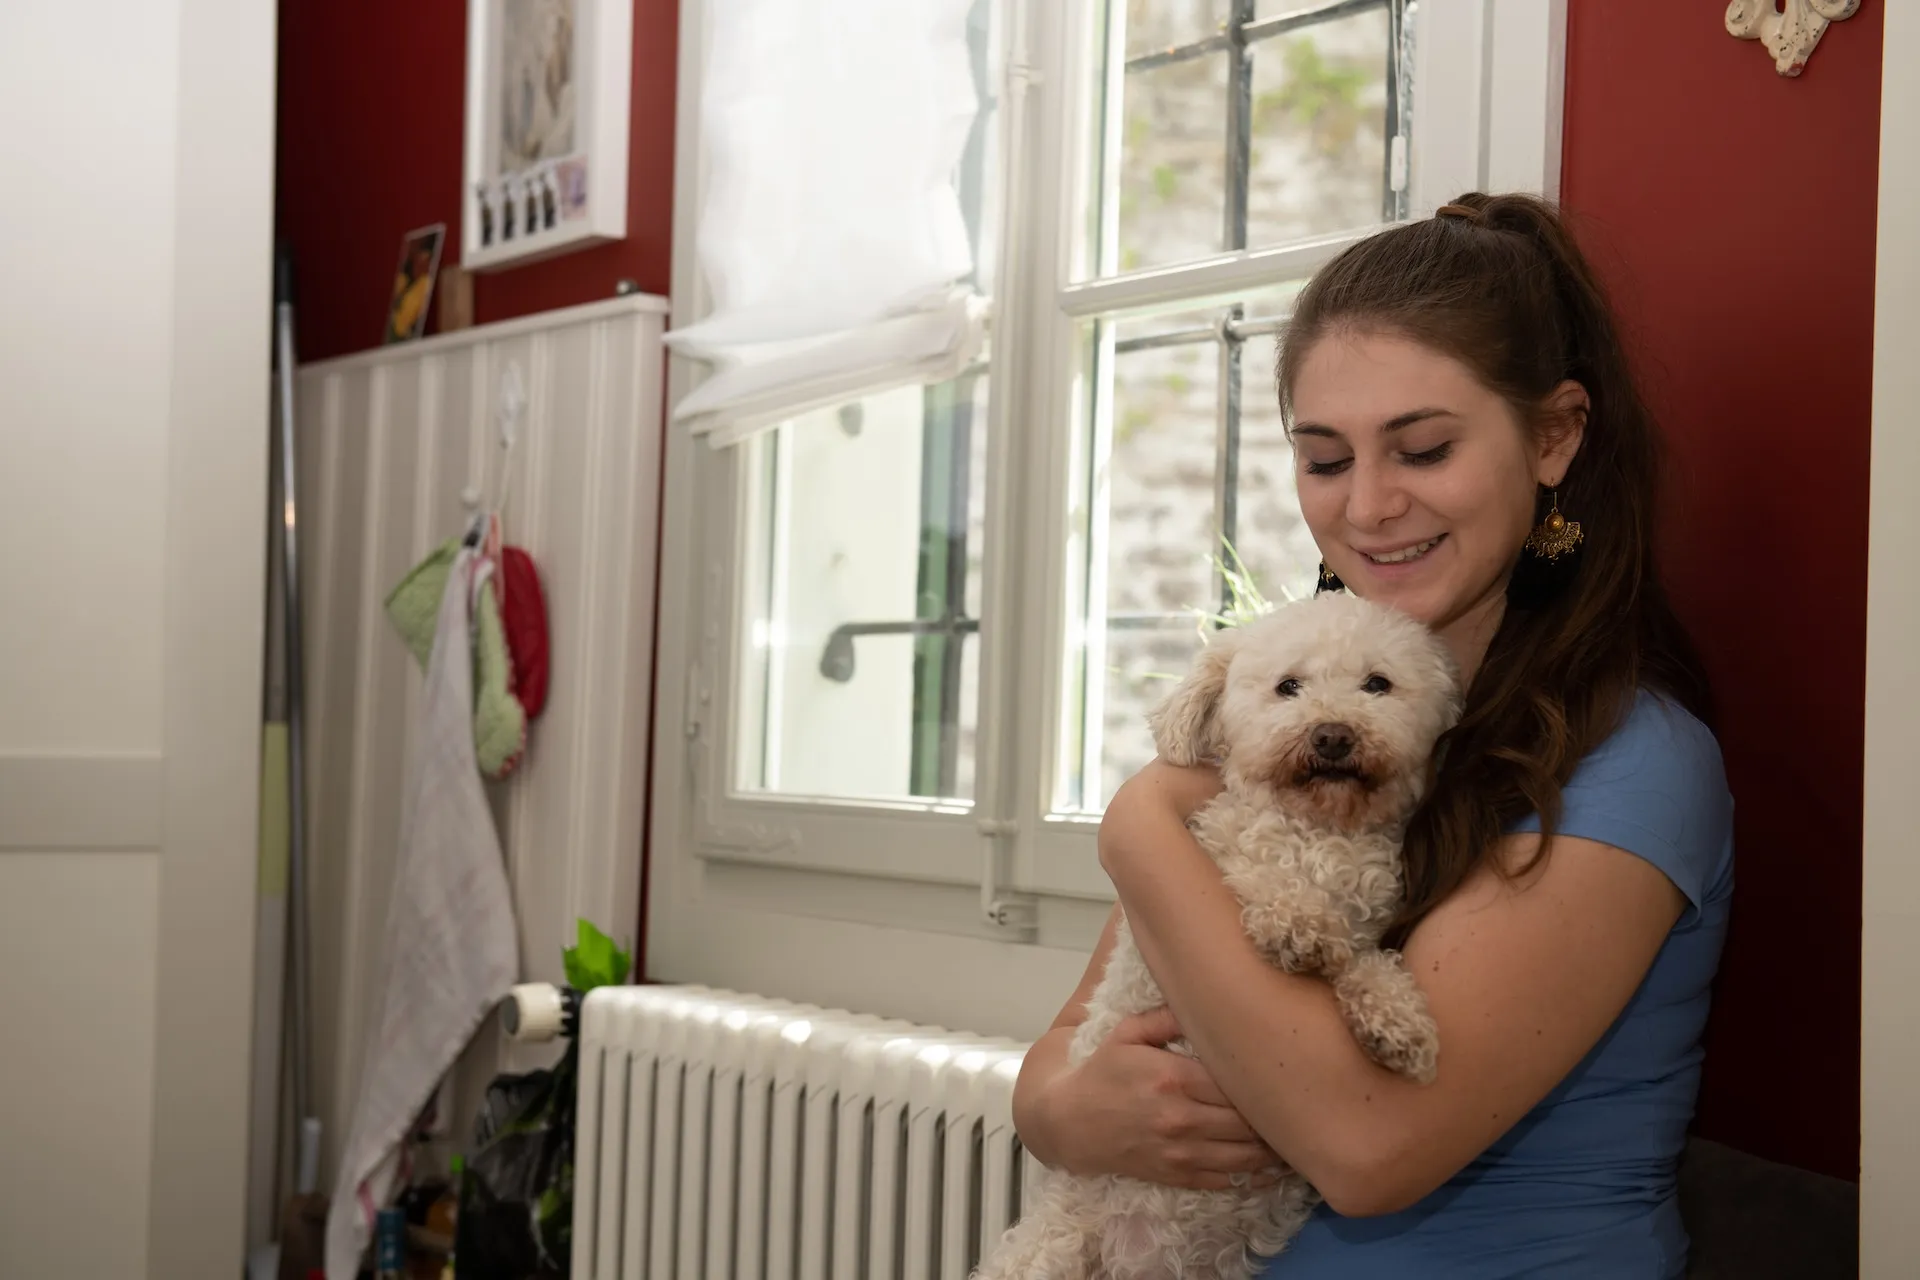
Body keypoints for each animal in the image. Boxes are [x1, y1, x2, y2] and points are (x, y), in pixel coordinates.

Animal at [975, 594, 1451, 1280]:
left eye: (1377, 684)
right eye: (1288, 686)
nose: (1333, 735)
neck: (1322, 833)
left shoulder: (1365, 924)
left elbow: (1367, 961)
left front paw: (1397, 1021)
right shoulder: (1220, 867)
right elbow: (1262, 880)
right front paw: (1297, 924)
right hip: (1051, 1251)